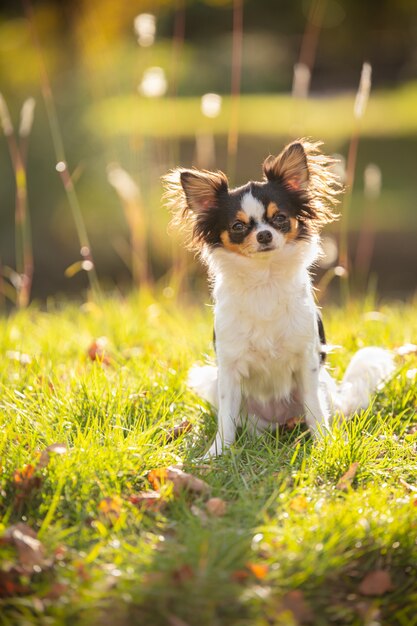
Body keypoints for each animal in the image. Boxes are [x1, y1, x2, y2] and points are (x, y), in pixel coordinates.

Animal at [162, 140, 394, 454]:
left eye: (280, 219)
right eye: (238, 227)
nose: (264, 235)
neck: (265, 279)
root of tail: (280, 421)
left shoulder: (307, 361)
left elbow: (315, 409)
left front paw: (324, 445)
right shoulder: (229, 367)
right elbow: (226, 417)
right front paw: (217, 453)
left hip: (323, 384)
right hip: (213, 381)